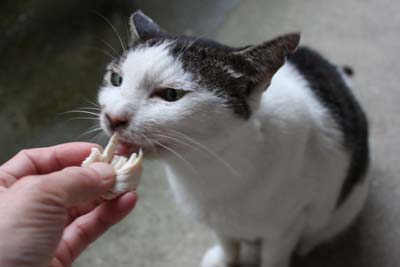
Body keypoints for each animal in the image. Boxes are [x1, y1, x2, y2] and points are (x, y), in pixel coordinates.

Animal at [96, 10, 368, 267]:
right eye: (116, 79)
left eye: (172, 95)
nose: (113, 117)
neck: (206, 170)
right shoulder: (219, 222)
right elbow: (227, 242)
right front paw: (224, 259)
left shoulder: (287, 225)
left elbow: (273, 257)